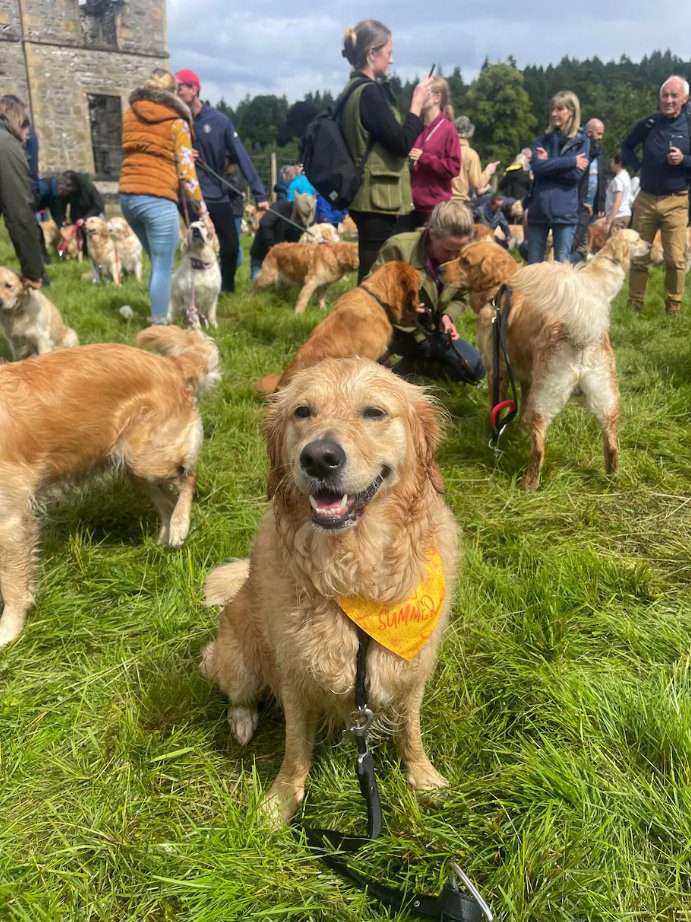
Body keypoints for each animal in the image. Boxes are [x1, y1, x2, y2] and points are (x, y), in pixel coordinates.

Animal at [0, 326, 220, 648]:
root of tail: (170, 364)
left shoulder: (11, 520)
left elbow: (12, 584)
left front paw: (8, 630)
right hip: (133, 465)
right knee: (166, 500)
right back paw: (164, 537)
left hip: (148, 457)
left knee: (188, 476)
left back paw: (180, 526)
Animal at [203, 356, 456, 824]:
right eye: (303, 411)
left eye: (374, 412)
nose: (319, 457)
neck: (353, 574)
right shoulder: (294, 674)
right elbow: (295, 750)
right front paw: (280, 803)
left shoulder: (411, 669)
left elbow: (410, 730)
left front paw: (423, 777)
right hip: (237, 659)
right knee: (238, 695)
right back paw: (242, 723)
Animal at [440, 230, 652, 488]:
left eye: (465, 261)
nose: (438, 268)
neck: (501, 288)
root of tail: (580, 333)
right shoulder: (525, 378)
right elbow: (520, 408)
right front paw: (520, 431)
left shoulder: (496, 372)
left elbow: (495, 408)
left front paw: (491, 433)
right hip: (606, 403)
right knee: (612, 445)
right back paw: (612, 477)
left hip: (543, 401)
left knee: (539, 448)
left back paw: (528, 484)